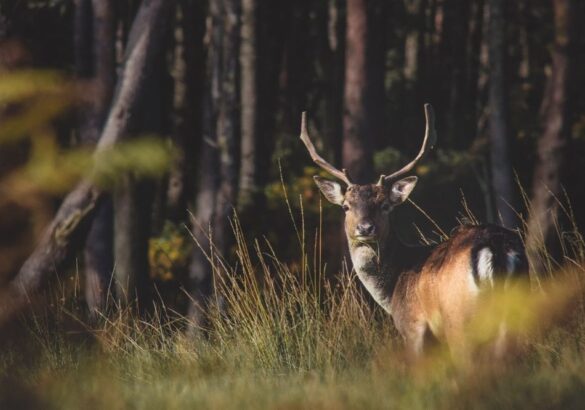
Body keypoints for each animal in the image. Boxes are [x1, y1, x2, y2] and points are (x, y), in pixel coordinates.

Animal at [298, 104, 528, 360]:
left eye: (385, 205)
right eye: (346, 206)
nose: (365, 227)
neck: (392, 291)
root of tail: (495, 246)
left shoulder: (413, 326)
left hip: (458, 319)